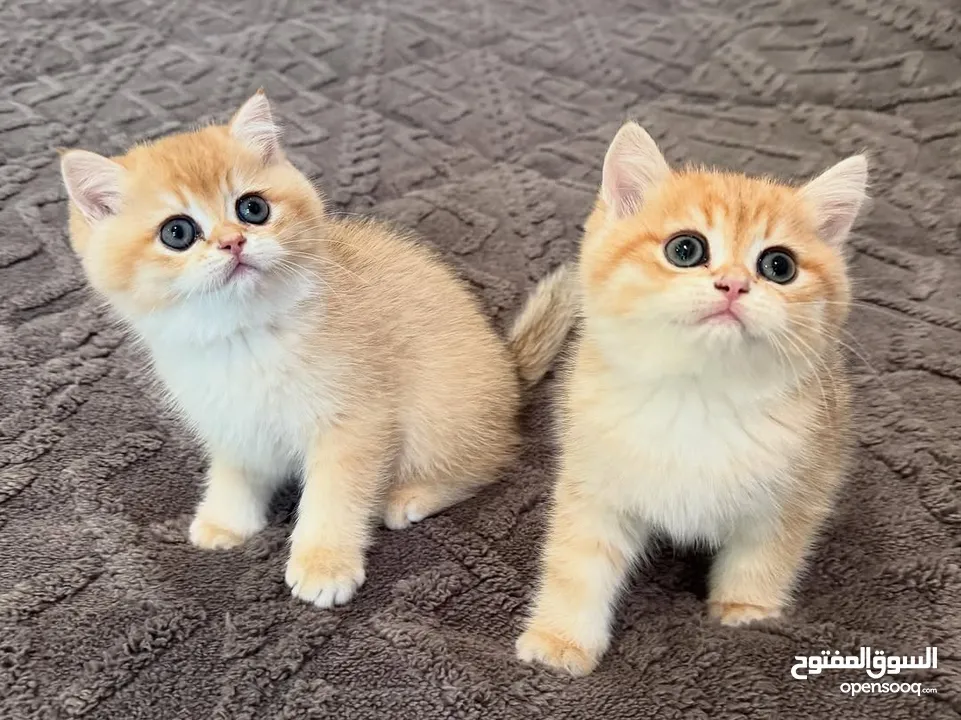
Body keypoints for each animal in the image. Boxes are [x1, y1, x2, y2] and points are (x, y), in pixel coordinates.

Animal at [60, 90, 576, 608]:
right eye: (177, 233)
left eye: (252, 208)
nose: (233, 242)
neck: (243, 334)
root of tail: (510, 370)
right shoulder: (230, 418)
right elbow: (235, 470)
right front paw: (227, 518)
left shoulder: (354, 425)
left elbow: (334, 499)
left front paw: (325, 563)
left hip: (438, 414)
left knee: (490, 461)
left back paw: (411, 496)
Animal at [512, 119, 868, 676]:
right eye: (686, 250)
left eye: (779, 265)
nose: (734, 284)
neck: (699, 395)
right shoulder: (594, 481)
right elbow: (579, 563)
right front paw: (561, 638)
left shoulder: (799, 486)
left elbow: (765, 555)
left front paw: (746, 612)